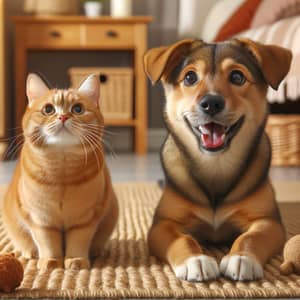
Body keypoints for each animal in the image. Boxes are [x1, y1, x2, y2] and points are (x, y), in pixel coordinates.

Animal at [2, 74, 118, 270]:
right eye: (48, 109)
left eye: (78, 109)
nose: (63, 116)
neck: (62, 177)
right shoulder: (41, 219)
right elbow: (47, 243)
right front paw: (51, 261)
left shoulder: (85, 219)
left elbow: (78, 242)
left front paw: (76, 260)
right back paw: (30, 253)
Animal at [144, 39, 292, 282]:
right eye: (189, 77)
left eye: (237, 77)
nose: (211, 103)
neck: (216, 166)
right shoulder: (163, 224)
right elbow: (182, 239)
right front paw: (195, 260)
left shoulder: (267, 220)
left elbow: (251, 237)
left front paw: (241, 258)